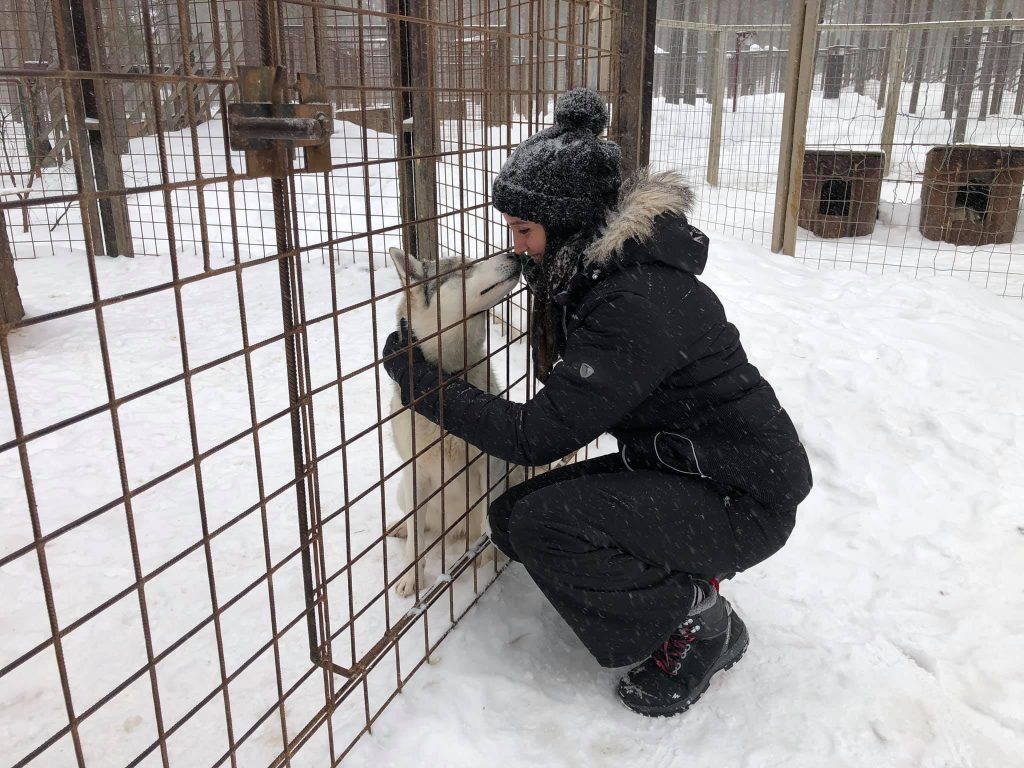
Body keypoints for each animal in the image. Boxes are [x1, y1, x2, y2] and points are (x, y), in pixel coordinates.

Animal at [387, 249, 524, 598]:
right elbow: (416, 541)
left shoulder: (489, 464)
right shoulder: (415, 474)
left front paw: (487, 562)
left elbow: (487, 520)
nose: (515, 254)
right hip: (403, 490)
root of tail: (454, 530)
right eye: (464, 268)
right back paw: (400, 528)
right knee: (417, 525)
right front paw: (412, 579)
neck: (450, 380)